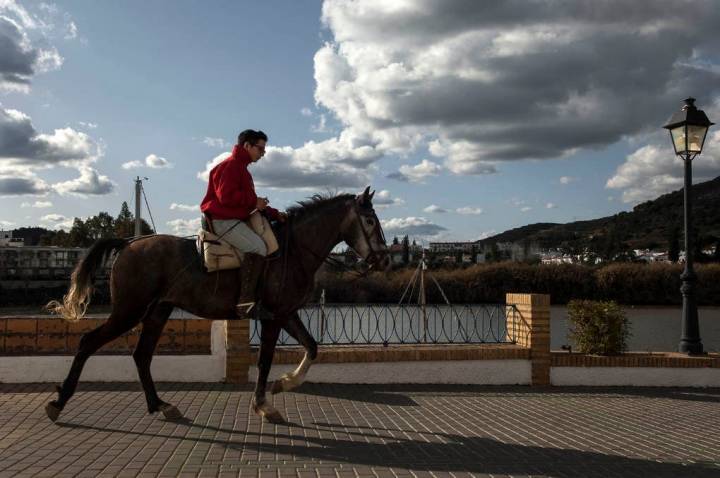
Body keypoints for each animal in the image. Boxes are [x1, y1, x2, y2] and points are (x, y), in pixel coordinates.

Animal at [46, 187, 388, 422]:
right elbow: (264, 361)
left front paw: (285, 383)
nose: (383, 259)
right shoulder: (273, 317)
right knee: (88, 342)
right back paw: (59, 401)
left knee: (141, 355)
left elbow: (312, 347)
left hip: (158, 311)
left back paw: (160, 405)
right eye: (370, 220)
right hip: (128, 311)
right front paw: (263, 403)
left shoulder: (287, 313)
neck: (294, 249)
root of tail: (129, 243)